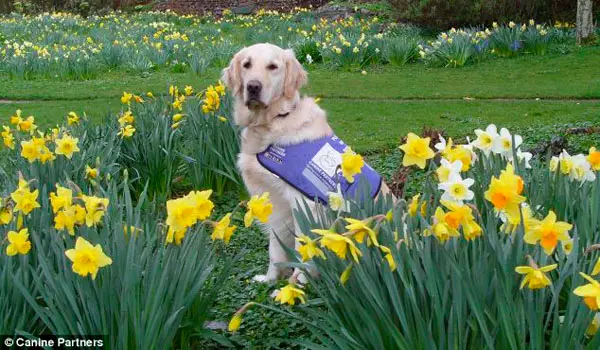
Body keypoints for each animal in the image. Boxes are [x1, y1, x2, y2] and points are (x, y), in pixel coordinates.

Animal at [223, 43, 392, 284]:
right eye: (247, 64)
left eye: (272, 66)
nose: (253, 87)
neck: (273, 122)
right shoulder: (275, 203)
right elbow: (275, 248)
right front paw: (270, 279)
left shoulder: (304, 203)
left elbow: (302, 246)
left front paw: (298, 283)